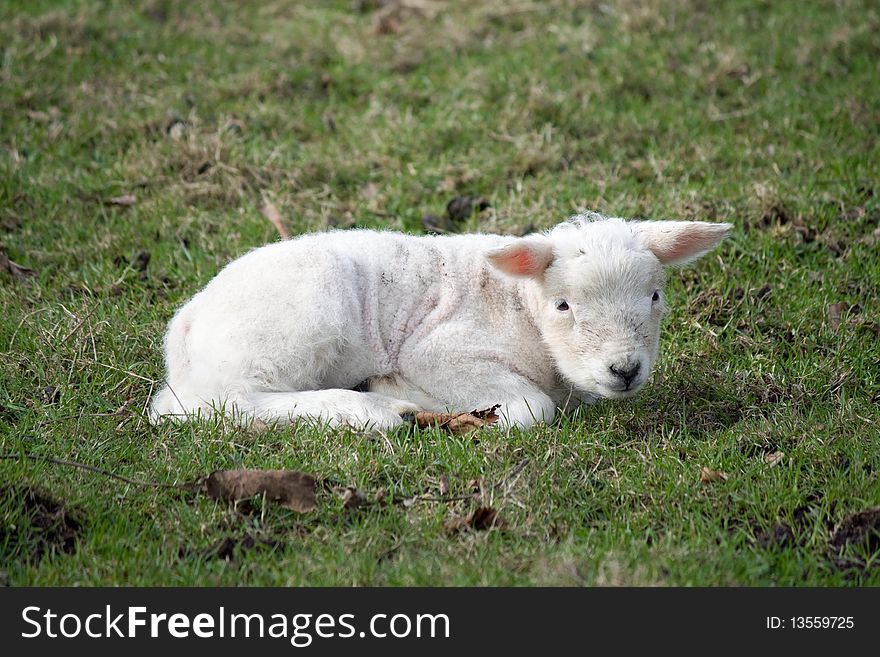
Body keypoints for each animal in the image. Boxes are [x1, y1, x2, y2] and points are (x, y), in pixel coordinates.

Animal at [150, 214, 728, 430]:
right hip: (300, 316)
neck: (519, 309)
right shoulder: (437, 351)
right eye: (563, 305)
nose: (624, 370)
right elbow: (532, 409)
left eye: (655, 296)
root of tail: (186, 325)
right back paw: (374, 409)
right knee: (226, 403)